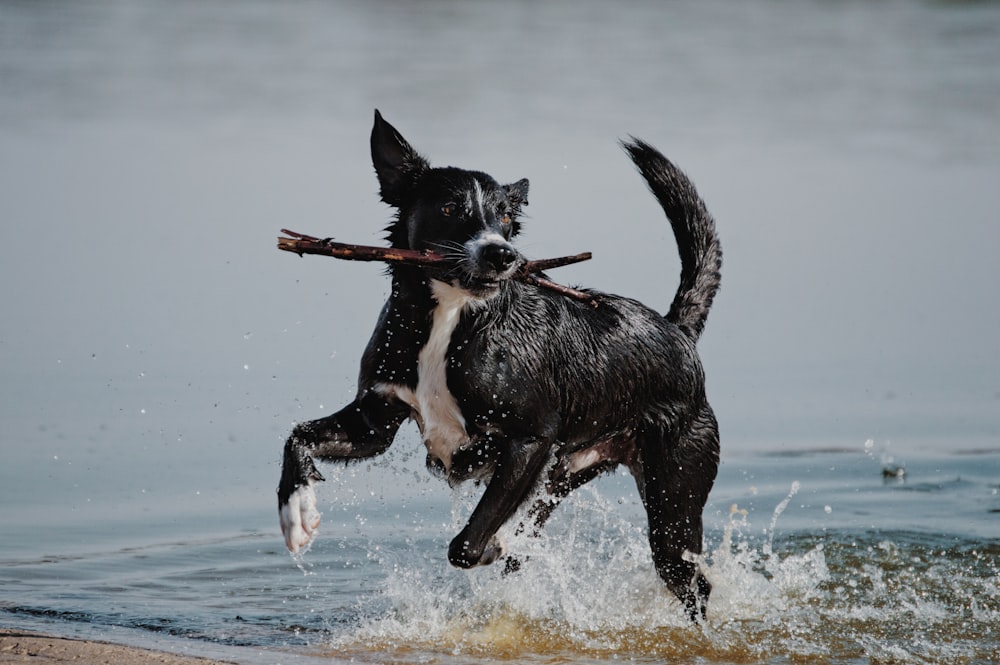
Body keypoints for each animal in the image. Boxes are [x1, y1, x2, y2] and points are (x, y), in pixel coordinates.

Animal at [278, 111, 724, 620]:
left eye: (506, 217)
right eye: (449, 208)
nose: (501, 253)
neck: (453, 316)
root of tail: (676, 332)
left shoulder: (530, 440)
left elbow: (467, 545)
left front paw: (492, 539)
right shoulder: (375, 419)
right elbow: (298, 436)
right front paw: (296, 513)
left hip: (674, 495)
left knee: (692, 581)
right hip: (565, 476)